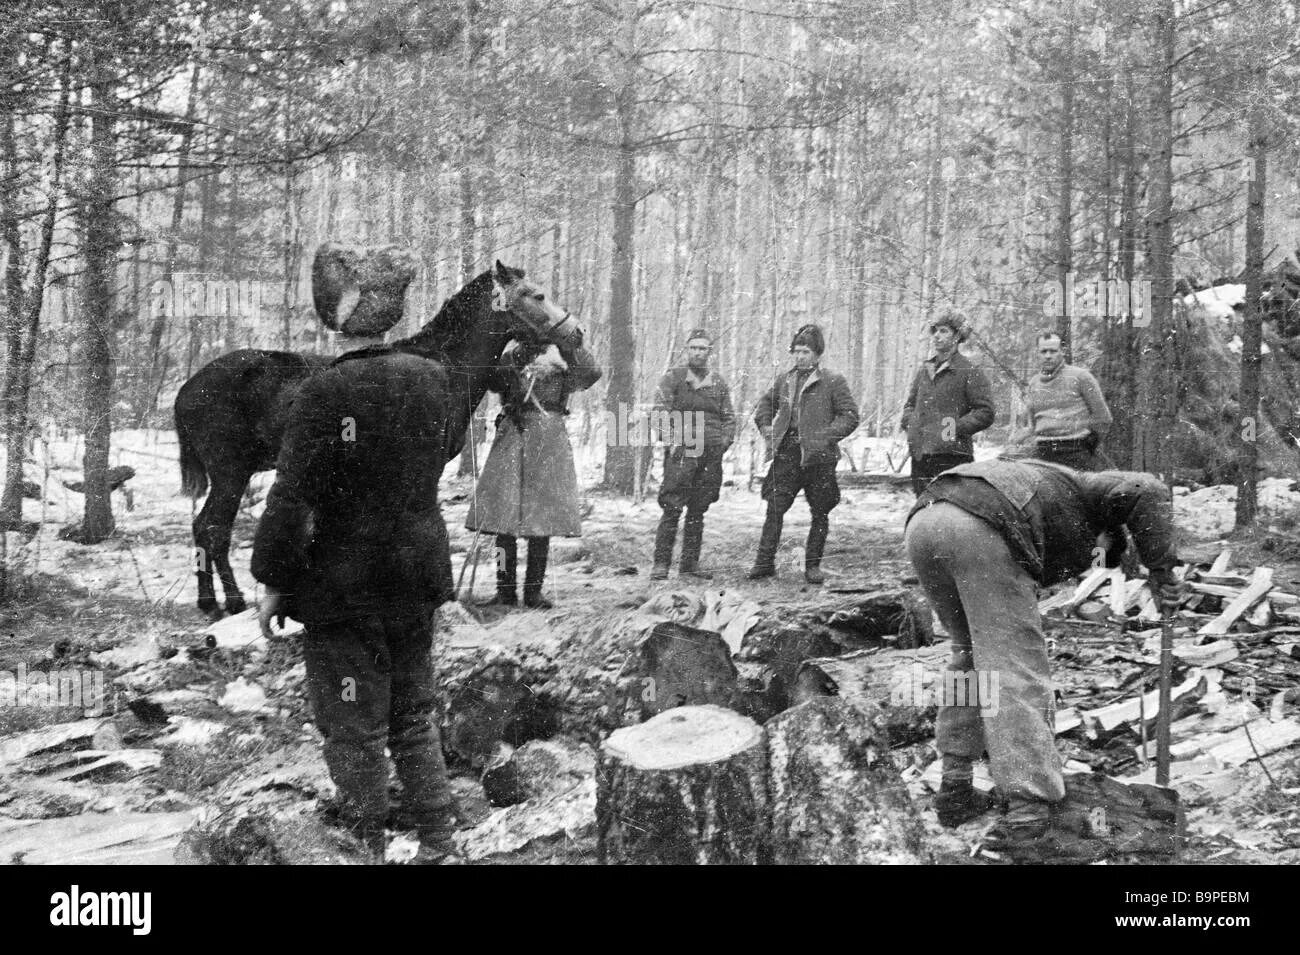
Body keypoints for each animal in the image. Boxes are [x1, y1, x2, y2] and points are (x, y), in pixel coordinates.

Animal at [172, 261, 574, 615]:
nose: (576, 333)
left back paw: (210, 601)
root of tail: (187, 390)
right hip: (231, 473)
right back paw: (229, 602)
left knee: (203, 528)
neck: (446, 365)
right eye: (536, 294)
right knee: (212, 529)